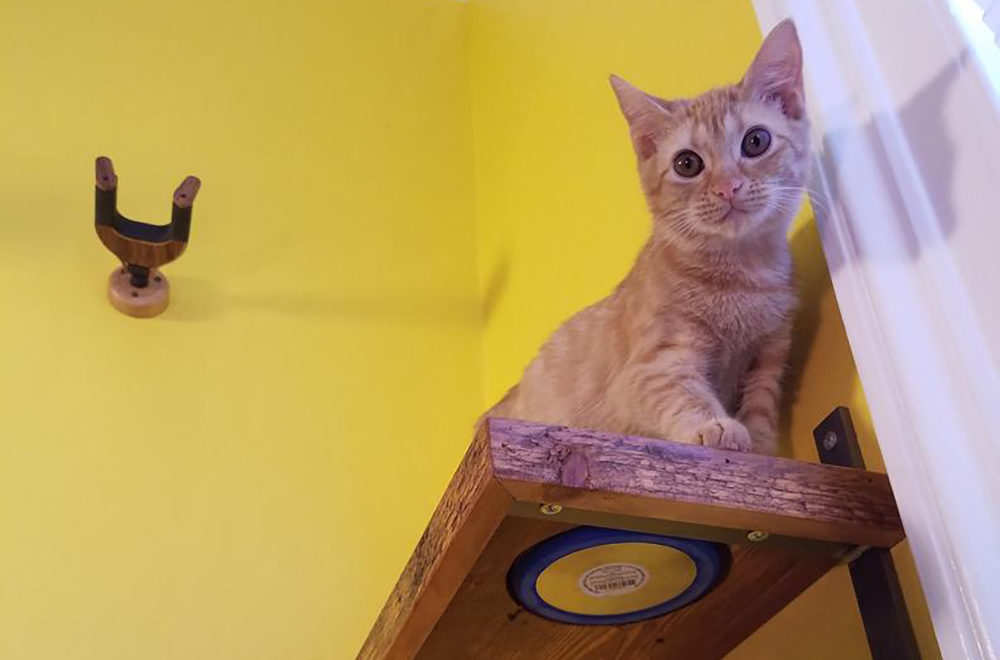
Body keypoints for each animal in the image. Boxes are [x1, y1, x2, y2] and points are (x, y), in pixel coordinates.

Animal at [486, 20, 812, 454]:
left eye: (756, 141)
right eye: (687, 164)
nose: (728, 187)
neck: (742, 275)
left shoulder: (770, 353)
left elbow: (761, 403)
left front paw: (759, 447)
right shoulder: (648, 369)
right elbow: (679, 389)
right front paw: (715, 425)